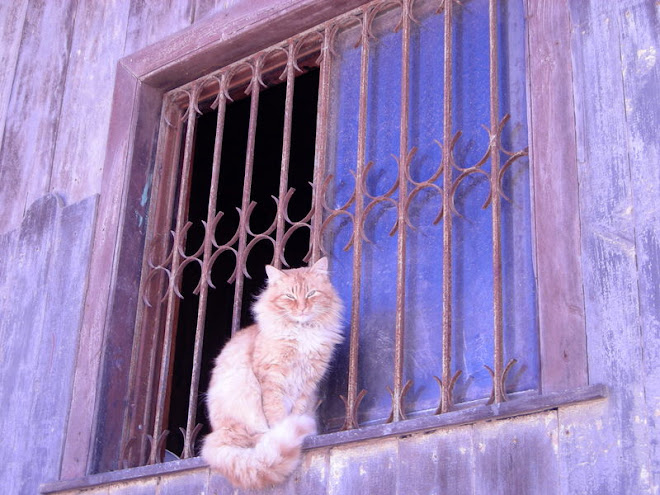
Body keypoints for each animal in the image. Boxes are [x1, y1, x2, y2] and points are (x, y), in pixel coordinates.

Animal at [201, 258, 342, 490]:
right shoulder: (272, 378)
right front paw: (281, 429)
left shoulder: (307, 384)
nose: (302, 308)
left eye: (312, 293)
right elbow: (276, 413)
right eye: (290, 296)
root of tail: (216, 435)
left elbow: (297, 411)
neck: (302, 333)